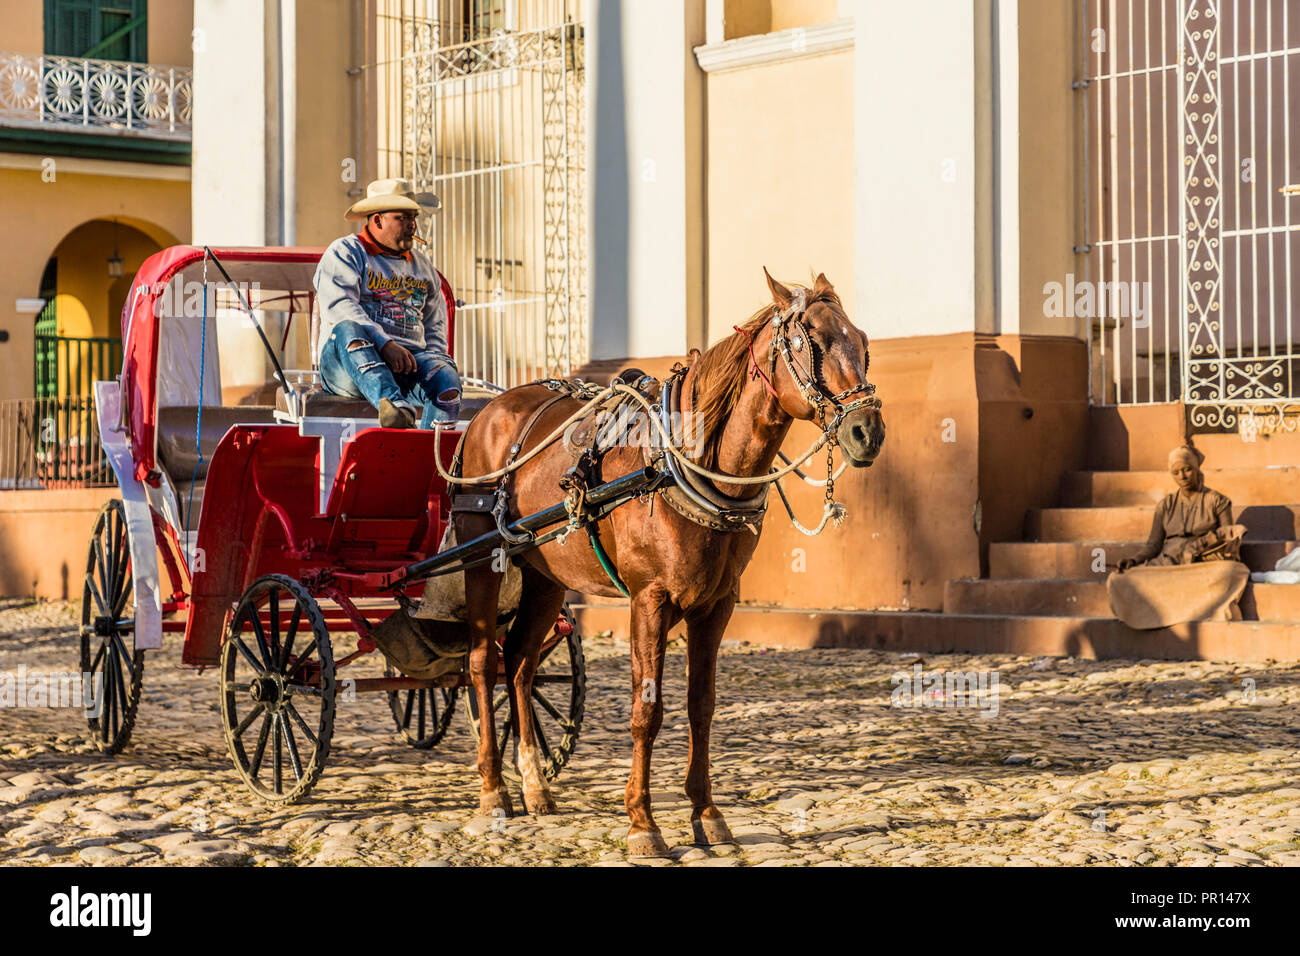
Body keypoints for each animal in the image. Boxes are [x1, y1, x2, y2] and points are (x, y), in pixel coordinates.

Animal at [452, 270, 889, 858]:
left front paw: (706, 814)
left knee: (520, 661)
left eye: (863, 342)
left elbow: (701, 707)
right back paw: (493, 791)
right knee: (481, 663)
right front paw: (642, 822)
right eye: (810, 343)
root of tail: (489, 410)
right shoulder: (649, 600)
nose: (868, 431)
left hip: (547, 577)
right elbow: (647, 711)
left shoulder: (718, 604)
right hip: (484, 559)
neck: (683, 463)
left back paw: (535, 785)